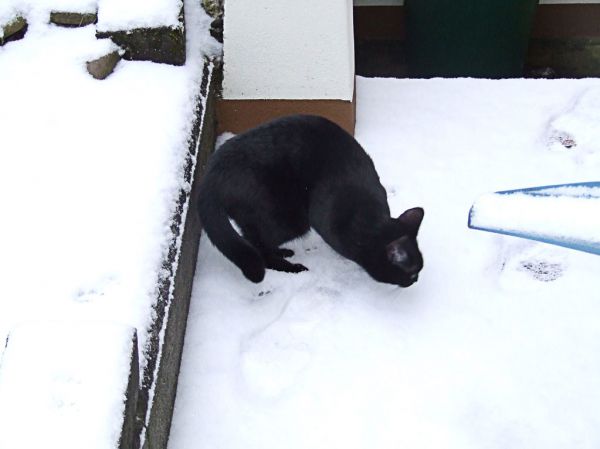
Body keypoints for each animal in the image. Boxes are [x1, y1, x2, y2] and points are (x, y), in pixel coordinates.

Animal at [197, 114, 422, 286]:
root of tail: (211, 174)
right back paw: (290, 268)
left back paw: (282, 252)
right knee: (258, 244)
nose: (415, 281)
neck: (366, 218)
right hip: (289, 218)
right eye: (411, 273)